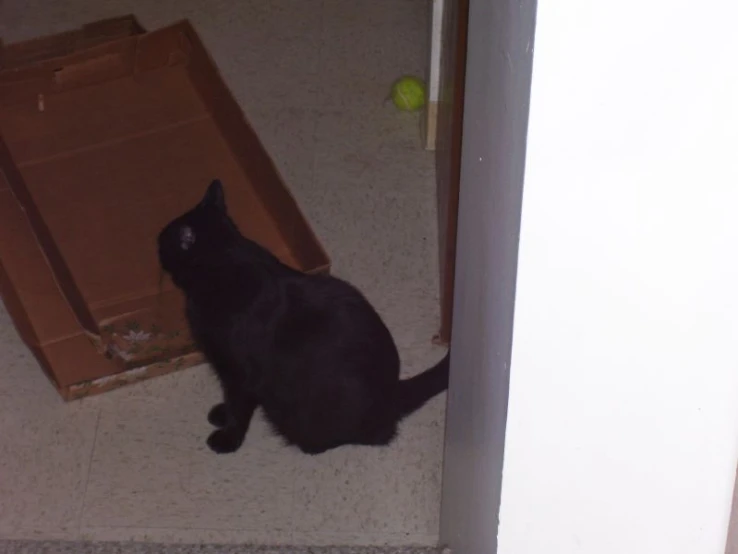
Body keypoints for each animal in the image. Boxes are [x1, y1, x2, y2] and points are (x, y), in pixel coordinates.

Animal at [158, 180, 448, 452]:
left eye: (163, 241)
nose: (156, 243)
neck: (226, 260)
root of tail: (393, 393)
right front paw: (222, 413)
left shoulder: (238, 372)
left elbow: (239, 406)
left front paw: (228, 438)